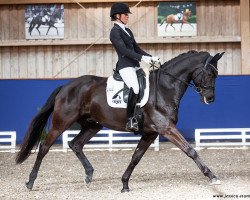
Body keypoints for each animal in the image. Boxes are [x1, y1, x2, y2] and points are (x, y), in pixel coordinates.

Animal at [15, 50, 225, 192]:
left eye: (216, 75)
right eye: (209, 74)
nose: (210, 98)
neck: (164, 88)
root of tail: (65, 86)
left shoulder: (150, 133)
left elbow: (135, 157)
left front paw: (124, 184)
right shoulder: (166, 128)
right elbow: (191, 151)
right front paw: (212, 176)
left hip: (92, 125)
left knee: (76, 144)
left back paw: (89, 174)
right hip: (61, 123)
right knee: (44, 147)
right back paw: (30, 181)